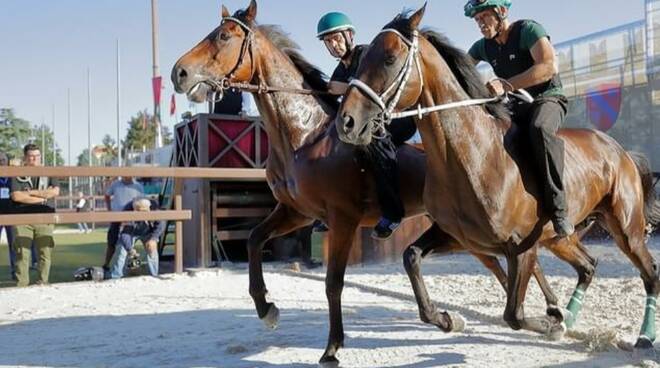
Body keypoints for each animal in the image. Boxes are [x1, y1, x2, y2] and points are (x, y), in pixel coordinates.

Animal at [169, 2, 600, 366]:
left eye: (224, 36)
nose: (179, 73)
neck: (304, 135)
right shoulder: (296, 212)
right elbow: (256, 240)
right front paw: (266, 308)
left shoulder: (340, 219)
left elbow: (333, 283)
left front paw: (332, 348)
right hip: (464, 233)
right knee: (506, 263)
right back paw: (542, 311)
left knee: (529, 258)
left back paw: (552, 312)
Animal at [338, 5, 660, 350]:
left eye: (389, 58)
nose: (347, 122)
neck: (473, 156)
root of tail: (620, 151)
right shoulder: (459, 237)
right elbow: (411, 257)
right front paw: (447, 318)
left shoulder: (521, 248)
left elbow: (514, 315)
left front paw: (551, 322)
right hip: (560, 238)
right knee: (588, 267)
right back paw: (571, 318)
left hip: (625, 229)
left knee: (650, 273)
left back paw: (642, 334)